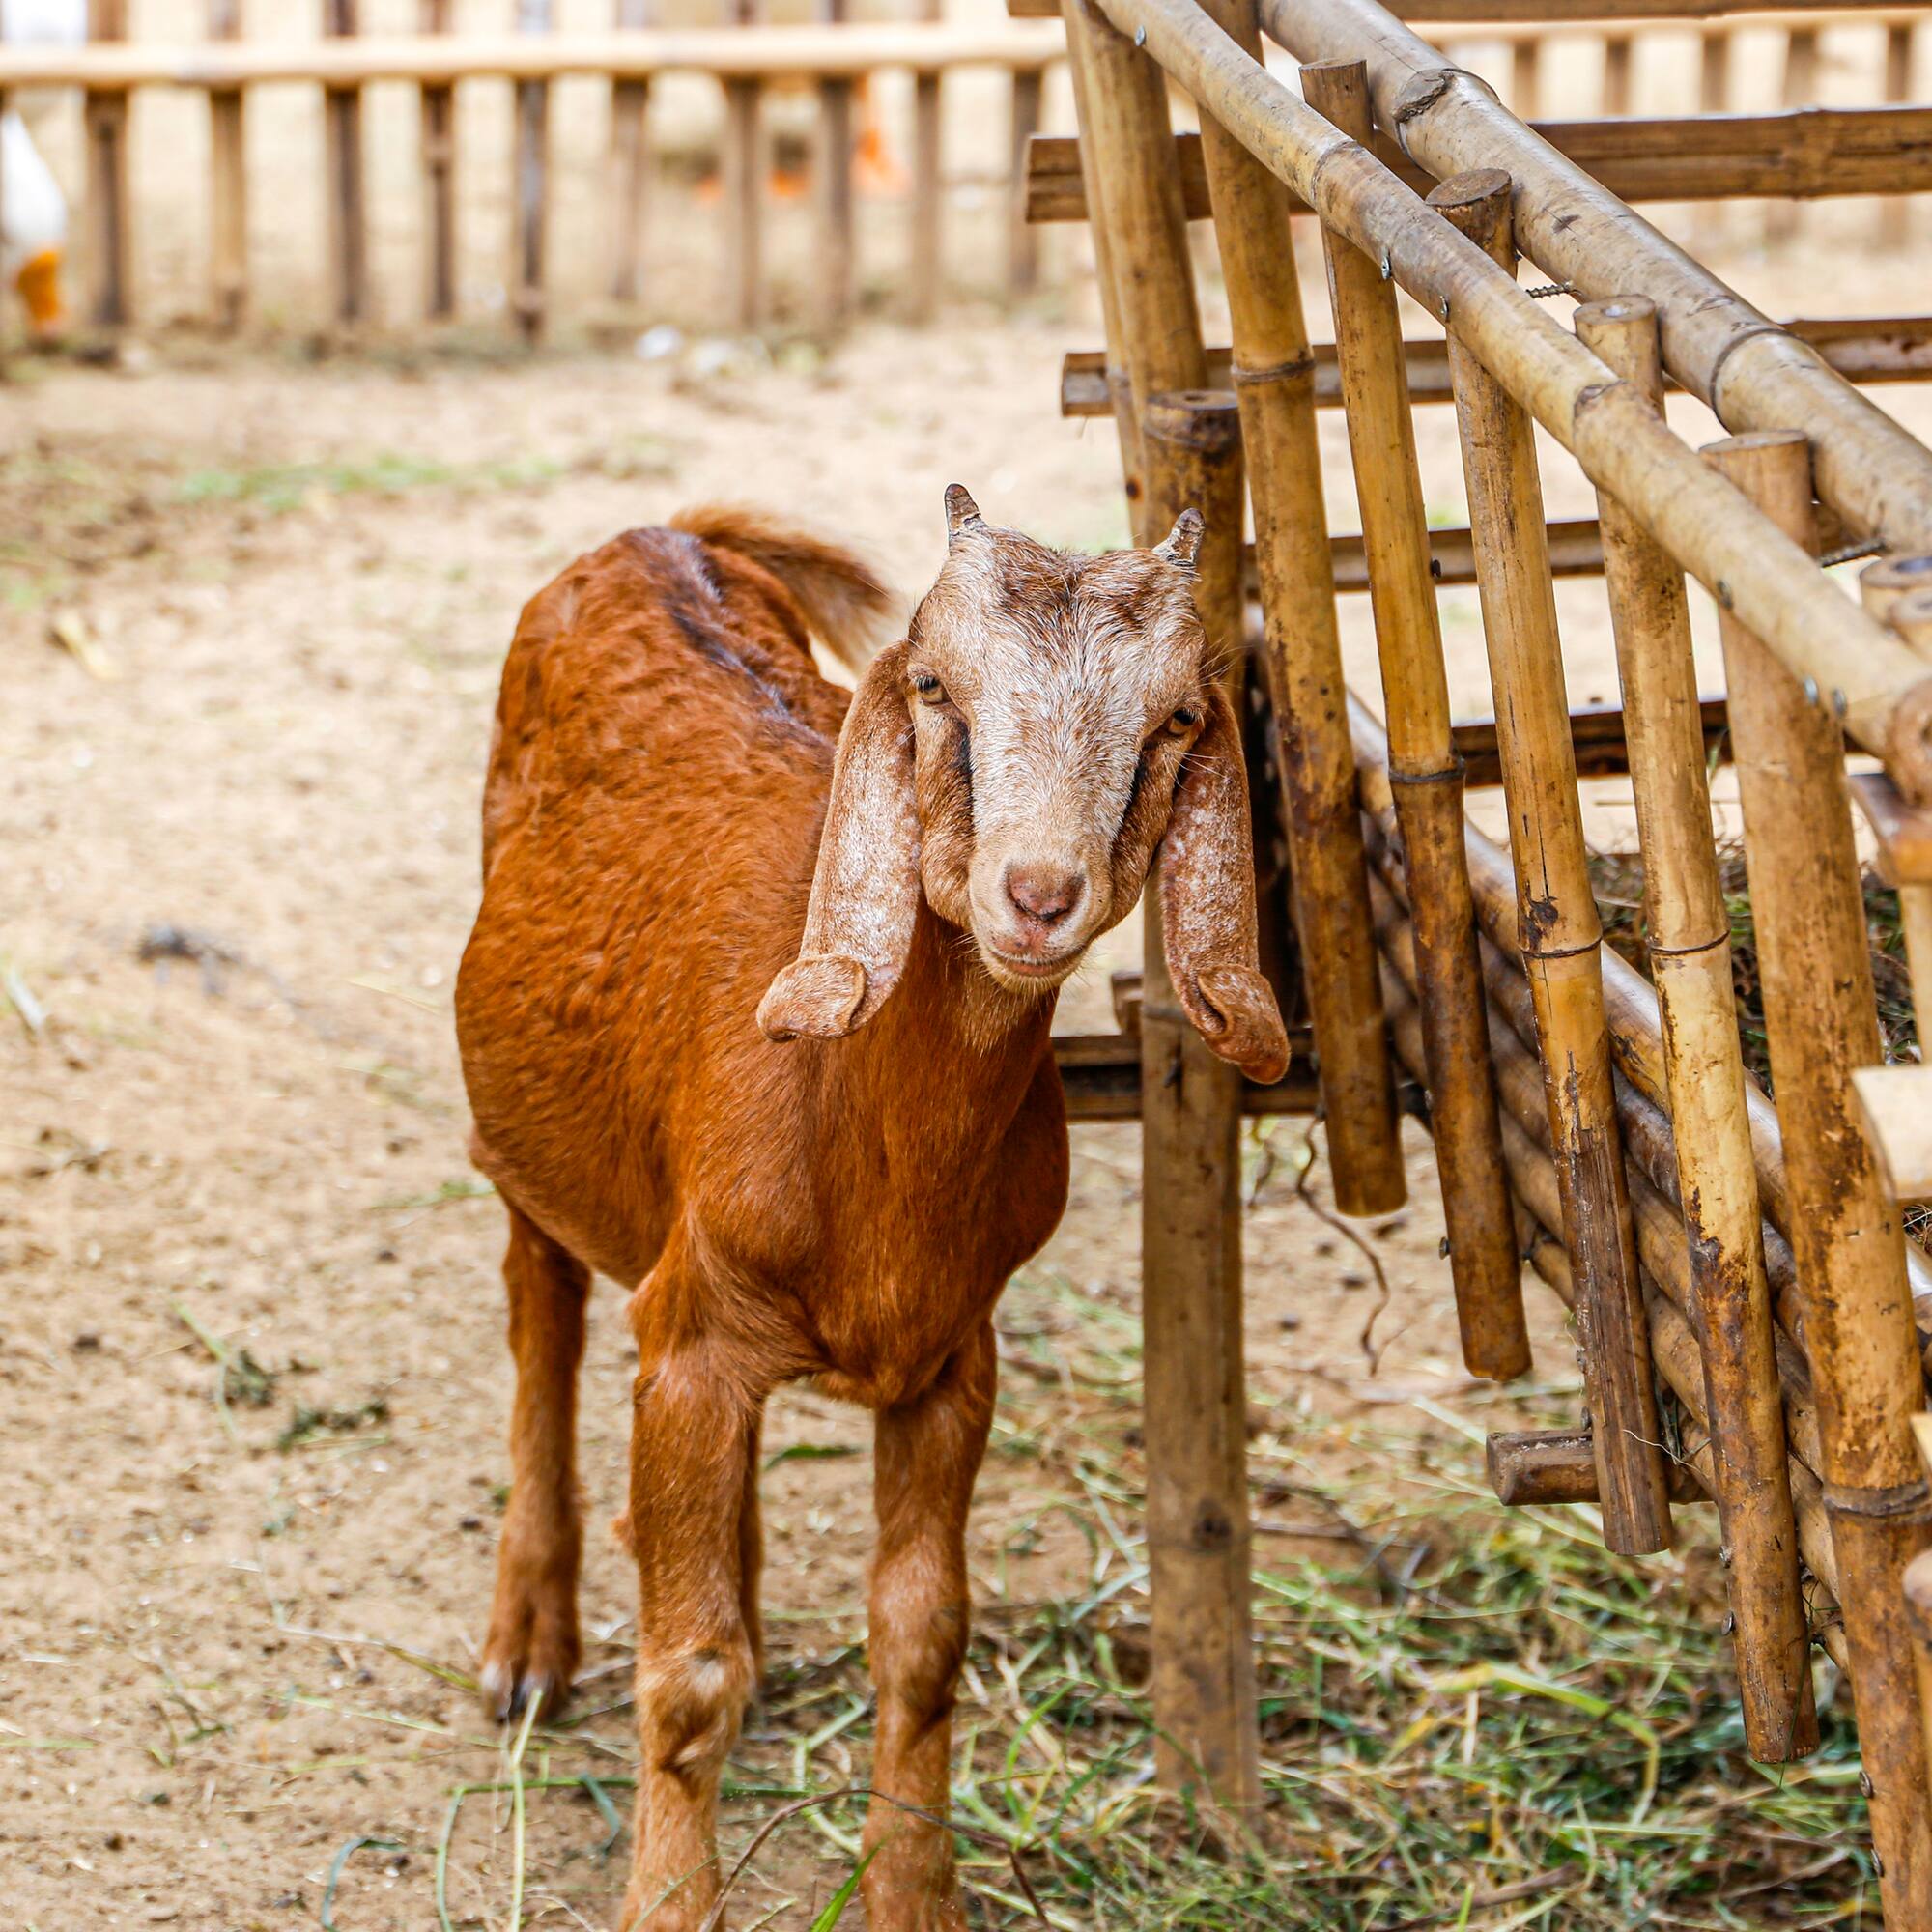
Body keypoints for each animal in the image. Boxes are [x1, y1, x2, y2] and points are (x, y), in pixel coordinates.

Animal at [455, 488, 1289, 1932]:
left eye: (1178, 718)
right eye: (936, 687)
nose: (1037, 895)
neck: (853, 1121)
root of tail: (657, 531)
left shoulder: (952, 1358)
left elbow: (922, 1639)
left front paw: (913, 1894)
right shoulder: (694, 1342)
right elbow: (686, 1678)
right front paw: (669, 1899)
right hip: (530, 1131)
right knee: (539, 1308)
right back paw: (528, 1646)